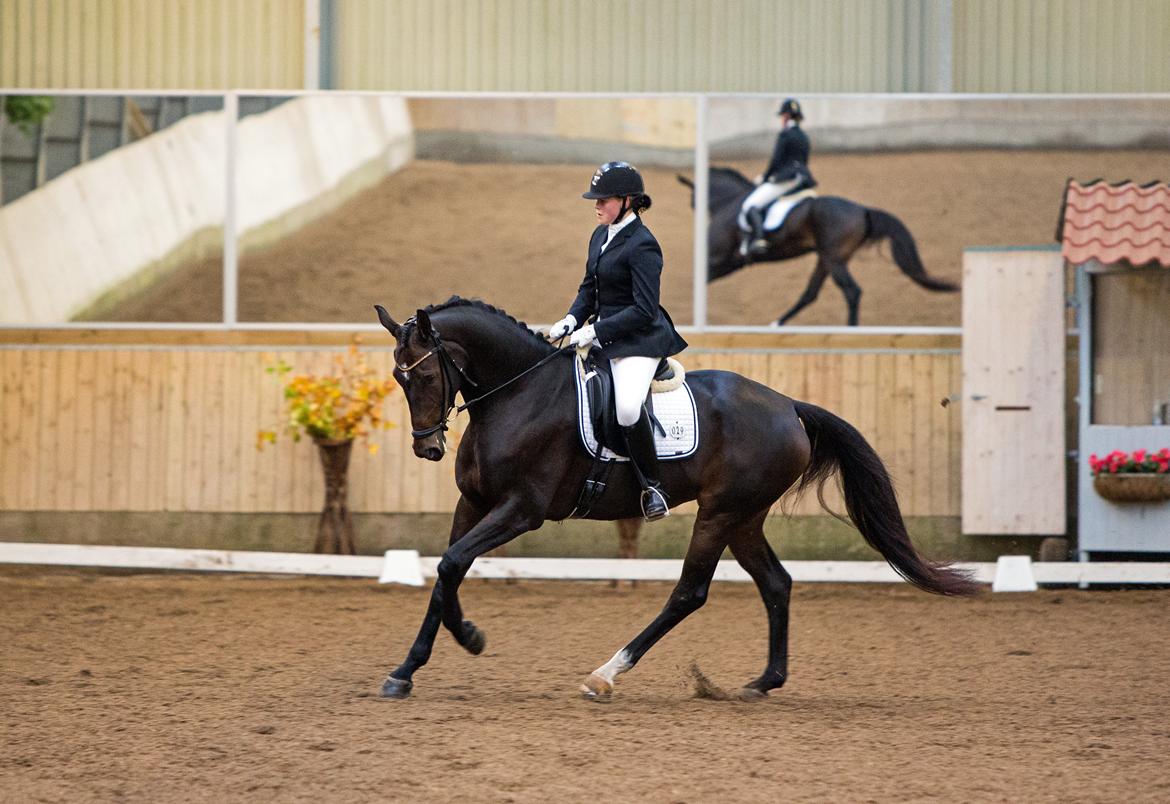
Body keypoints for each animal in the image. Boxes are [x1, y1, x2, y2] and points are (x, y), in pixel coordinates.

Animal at [374, 298, 978, 702]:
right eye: (398, 380)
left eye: (424, 375)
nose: (427, 447)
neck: (519, 394)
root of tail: (787, 405)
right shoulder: (474, 504)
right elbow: (447, 569)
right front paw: (445, 649)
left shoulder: (522, 511)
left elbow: (453, 562)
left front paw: (433, 656)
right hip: (743, 518)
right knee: (776, 583)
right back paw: (763, 682)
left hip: (720, 513)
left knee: (689, 593)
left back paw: (606, 674)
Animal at [683, 166, 954, 327]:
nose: (695, 206)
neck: (728, 202)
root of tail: (862, 210)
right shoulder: (731, 264)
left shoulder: (718, 260)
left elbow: (701, 282)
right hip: (826, 258)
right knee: (810, 293)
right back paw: (777, 323)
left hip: (834, 259)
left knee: (851, 291)